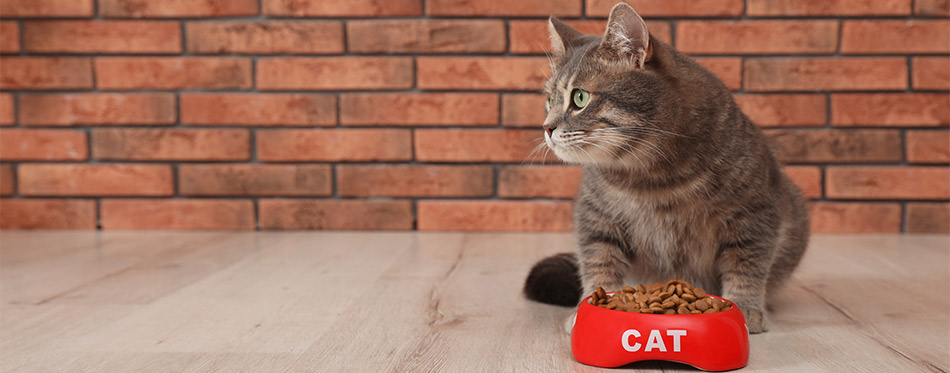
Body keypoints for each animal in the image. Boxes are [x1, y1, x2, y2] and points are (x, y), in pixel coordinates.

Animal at [520, 1, 812, 332]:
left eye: (580, 98)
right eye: (550, 99)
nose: (546, 127)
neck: (648, 176)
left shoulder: (755, 213)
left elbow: (747, 264)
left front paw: (745, 307)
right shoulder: (595, 217)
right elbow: (599, 261)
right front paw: (591, 305)